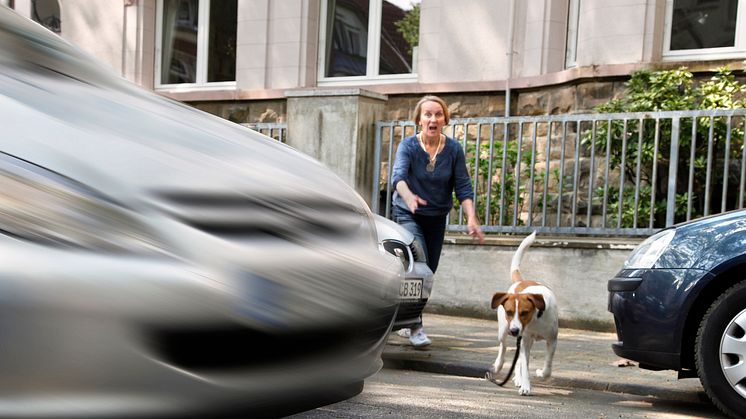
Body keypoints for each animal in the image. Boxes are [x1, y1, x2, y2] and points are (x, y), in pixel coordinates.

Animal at [492, 233, 556, 398]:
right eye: (509, 312)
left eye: (524, 312)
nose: (514, 331)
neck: (536, 319)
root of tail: (521, 281)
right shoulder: (524, 340)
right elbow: (525, 367)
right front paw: (526, 386)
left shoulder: (552, 340)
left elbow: (547, 367)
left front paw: (540, 373)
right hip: (503, 330)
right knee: (503, 346)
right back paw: (499, 365)